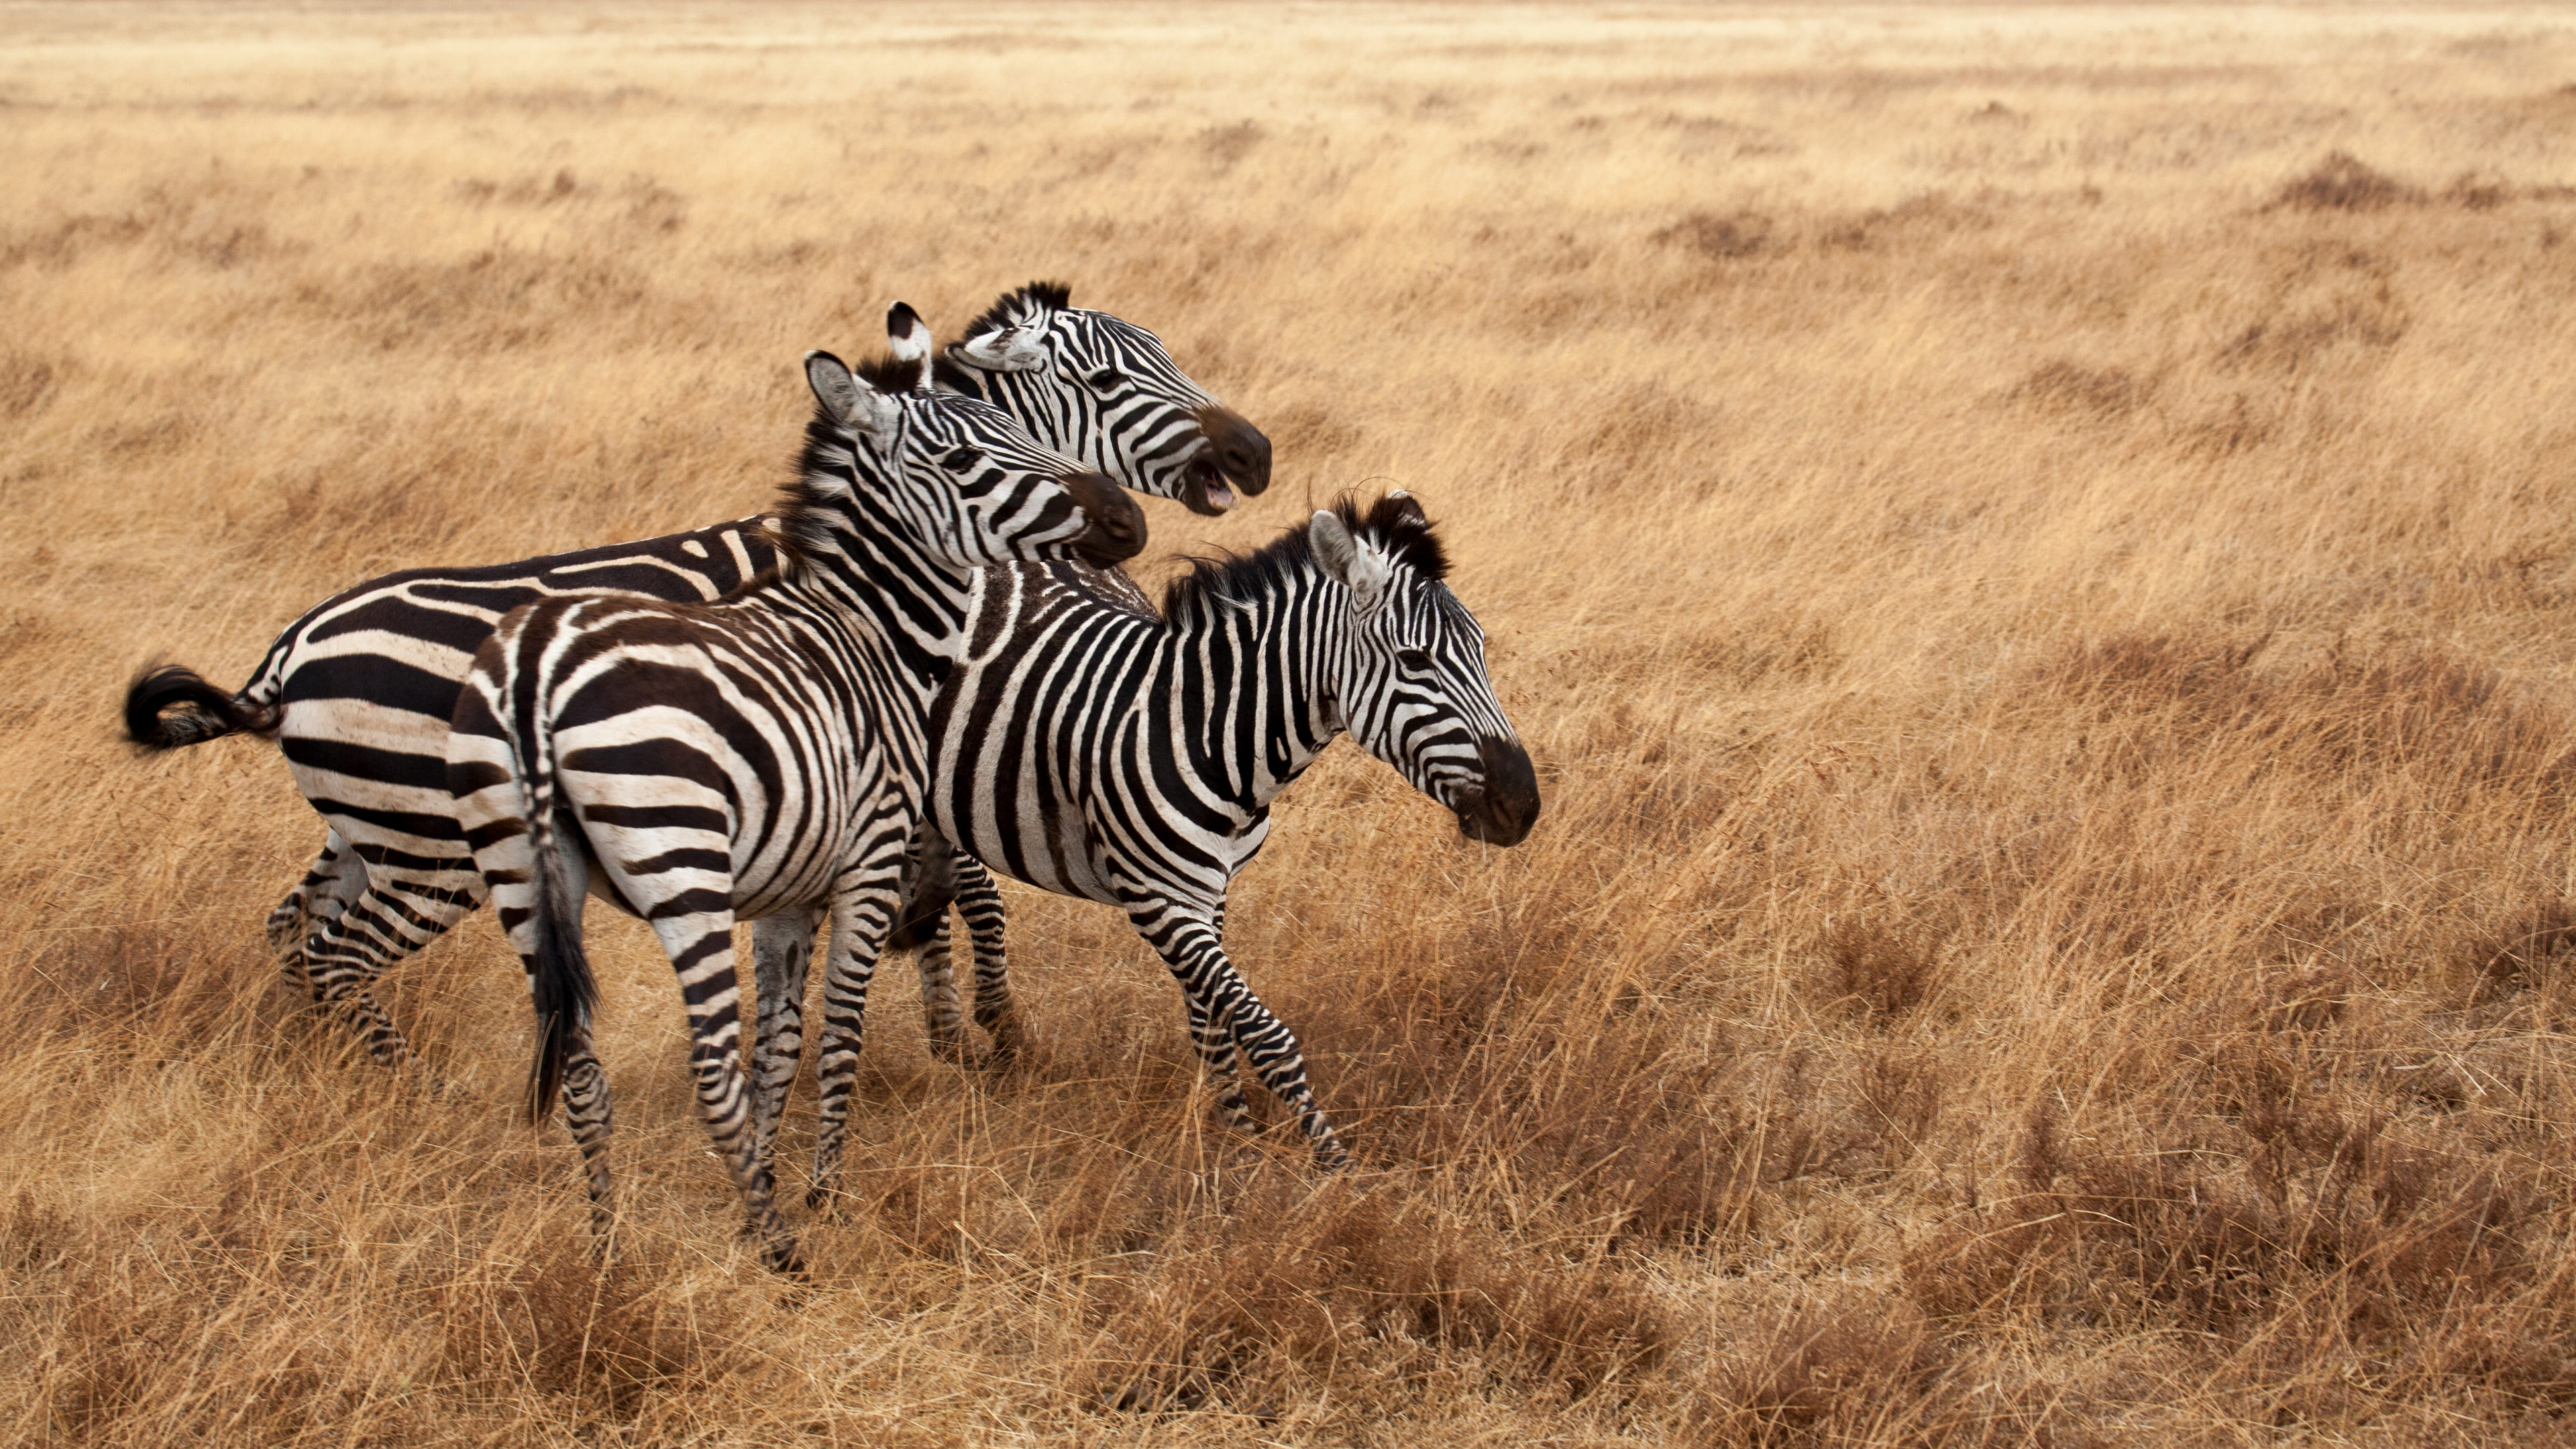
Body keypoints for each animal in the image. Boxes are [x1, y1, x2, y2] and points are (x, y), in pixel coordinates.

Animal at [121, 280, 1267, 1072]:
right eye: (1109, 383)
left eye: (1168, 352)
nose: (1254, 454)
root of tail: (287, 654)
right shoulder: (949, 738)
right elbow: (974, 895)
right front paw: (991, 1033)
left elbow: (930, 895)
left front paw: (946, 1030)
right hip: (423, 848)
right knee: (326, 946)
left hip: (375, 830)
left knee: (291, 930)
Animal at [445, 311, 1148, 1268]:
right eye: (967, 458)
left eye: (1017, 428)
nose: (1129, 519)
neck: (875, 634)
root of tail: (532, 662)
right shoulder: (870, 864)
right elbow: (836, 1035)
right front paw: (817, 1196)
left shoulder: (787, 894)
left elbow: (778, 1046)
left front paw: (761, 1187)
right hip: (680, 860)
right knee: (708, 1070)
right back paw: (785, 1255)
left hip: (519, 874)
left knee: (582, 1065)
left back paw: (607, 1245)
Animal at [875, 487, 1535, 1160]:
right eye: (1414, 659)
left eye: (1482, 647)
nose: (1524, 806)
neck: (1208, 733)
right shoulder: (1158, 900)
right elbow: (1266, 1034)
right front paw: (1327, 1160)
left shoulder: (1210, 892)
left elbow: (1212, 1021)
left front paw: (1232, 1134)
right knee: (972, 890)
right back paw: (988, 1029)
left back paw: (953, 1033)